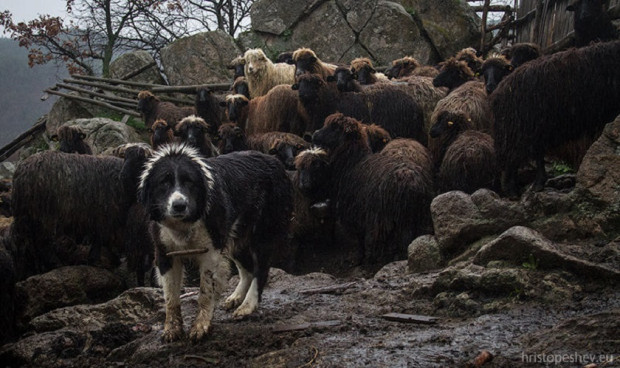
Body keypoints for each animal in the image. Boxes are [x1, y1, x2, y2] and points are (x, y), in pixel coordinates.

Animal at [139, 144, 294, 342]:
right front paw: (172, 328)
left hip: (263, 233)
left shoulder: (210, 252)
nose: (179, 205)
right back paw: (236, 297)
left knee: (261, 270)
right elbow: (171, 296)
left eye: (189, 182)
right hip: (236, 236)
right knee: (247, 269)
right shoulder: (165, 253)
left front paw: (201, 326)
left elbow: (205, 292)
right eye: (163, 183)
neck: (184, 225)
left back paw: (247, 306)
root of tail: (276, 161)